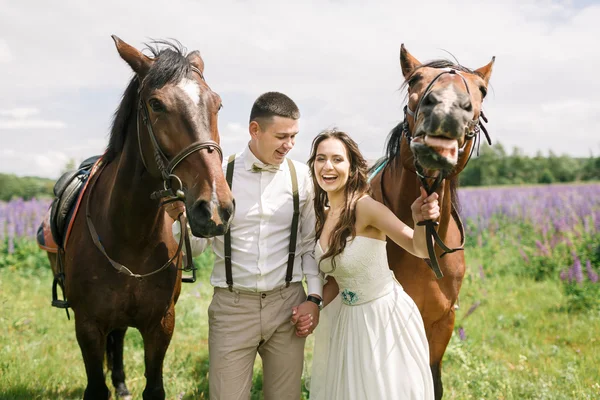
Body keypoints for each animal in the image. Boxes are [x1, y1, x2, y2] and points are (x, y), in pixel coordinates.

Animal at [38, 36, 233, 398]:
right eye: (156, 105)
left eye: (217, 104)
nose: (215, 207)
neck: (131, 236)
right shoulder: (88, 326)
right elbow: (96, 387)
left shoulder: (161, 324)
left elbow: (153, 387)